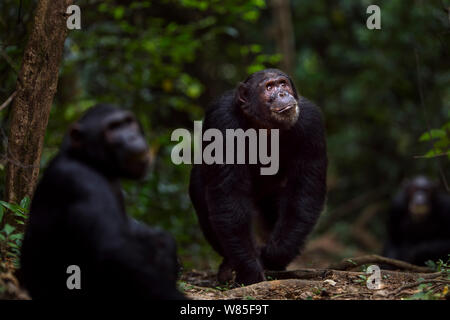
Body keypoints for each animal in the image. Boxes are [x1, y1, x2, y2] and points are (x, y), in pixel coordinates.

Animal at [20, 105, 185, 300]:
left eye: (128, 123)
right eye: (112, 128)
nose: (131, 136)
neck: (93, 163)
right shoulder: (81, 183)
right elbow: (112, 251)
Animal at [189, 69, 326, 284]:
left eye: (283, 84)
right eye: (269, 87)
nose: (282, 93)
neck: (264, 125)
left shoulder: (311, 123)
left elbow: (304, 191)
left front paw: (274, 255)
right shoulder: (222, 120)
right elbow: (230, 196)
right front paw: (250, 269)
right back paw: (228, 265)